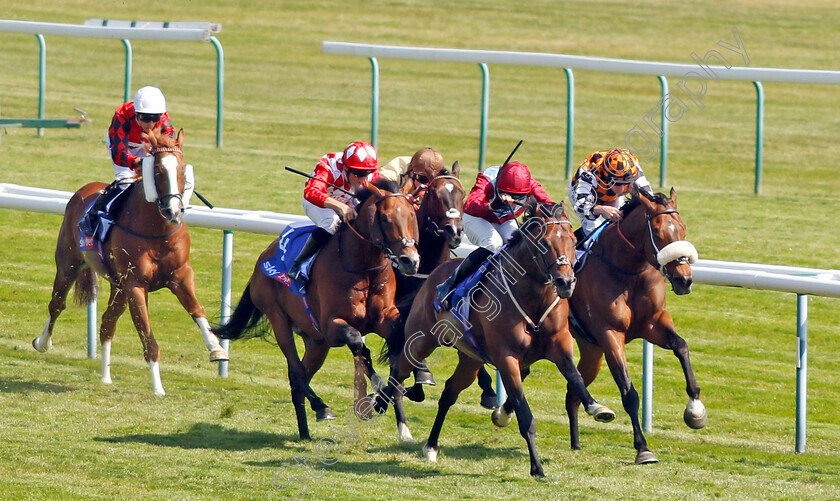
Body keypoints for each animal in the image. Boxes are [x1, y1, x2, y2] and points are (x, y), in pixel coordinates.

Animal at [33, 127, 226, 396]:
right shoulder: (135, 283)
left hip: (118, 286)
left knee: (107, 322)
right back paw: (42, 343)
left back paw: (106, 377)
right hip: (69, 264)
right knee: (57, 304)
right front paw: (158, 388)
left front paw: (216, 348)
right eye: (158, 170)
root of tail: (83, 191)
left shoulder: (180, 275)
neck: (156, 231)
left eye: (181, 169)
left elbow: (197, 309)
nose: (173, 212)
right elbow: (146, 333)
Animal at [210, 180, 420, 442]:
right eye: (385, 217)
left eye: (412, 214)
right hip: (279, 320)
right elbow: (358, 344)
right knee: (297, 372)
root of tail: (263, 257)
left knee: (300, 379)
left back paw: (305, 432)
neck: (363, 268)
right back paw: (322, 408)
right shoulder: (332, 325)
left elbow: (399, 340)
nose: (410, 261)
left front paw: (402, 421)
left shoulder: (384, 318)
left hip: (317, 343)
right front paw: (377, 391)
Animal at [374, 202, 616, 476]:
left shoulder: (560, 344)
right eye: (544, 242)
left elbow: (575, 378)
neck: (532, 298)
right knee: (399, 371)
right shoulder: (507, 357)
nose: (566, 281)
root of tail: (433, 276)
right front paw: (537, 468)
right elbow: (525, 413)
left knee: (449, 393)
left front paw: (598, 408)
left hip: (470, 359)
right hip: (421, 340)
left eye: (573, 241)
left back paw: (431, 447)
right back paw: (381, 405)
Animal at [560, 188, 704, 464]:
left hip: (592, 351)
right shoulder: (610, 334)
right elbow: (629, 393)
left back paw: (576, 442)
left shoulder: (654, 323)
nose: (684, 280)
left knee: (573, 391)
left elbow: (681, 346)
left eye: (682, 229)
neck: (627, 270)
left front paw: (695, 410)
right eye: (658, 233)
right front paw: (643, 448)